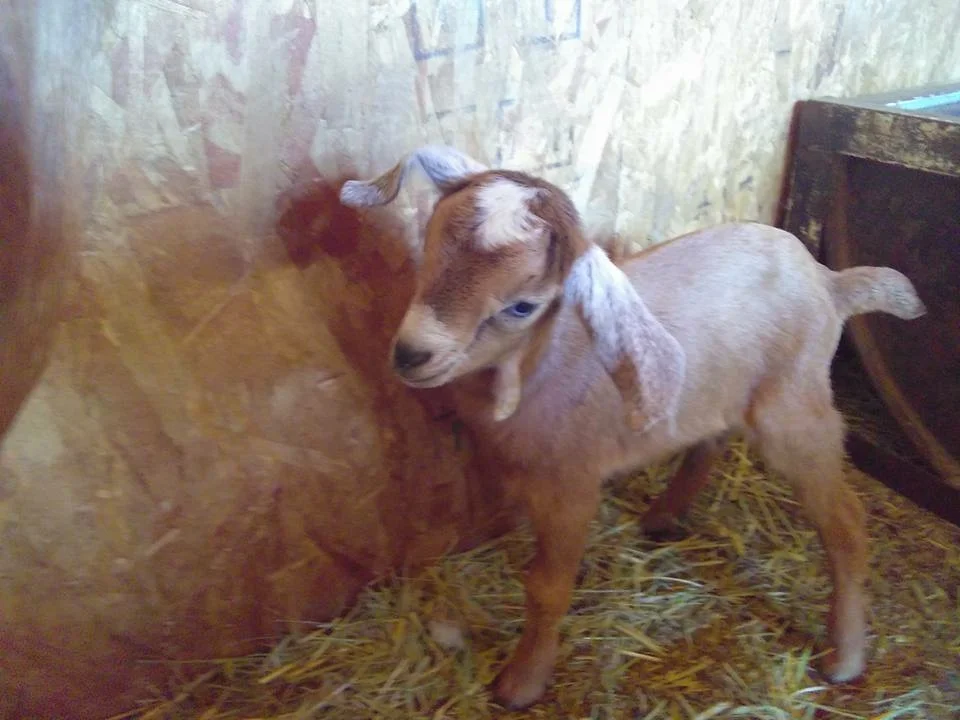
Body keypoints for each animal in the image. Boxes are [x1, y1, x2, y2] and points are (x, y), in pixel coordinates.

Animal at [339, 146, 926, 709]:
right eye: (427, 249)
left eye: (523, 306)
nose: (411, 354)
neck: (540, 363)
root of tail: (830, 281)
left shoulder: (572, 485)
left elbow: (547, 587)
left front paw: (522, 683)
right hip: (721, 387)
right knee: (711, 438)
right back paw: (664, 515)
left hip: (795, 405)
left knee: (846, 521)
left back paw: (845, 655)